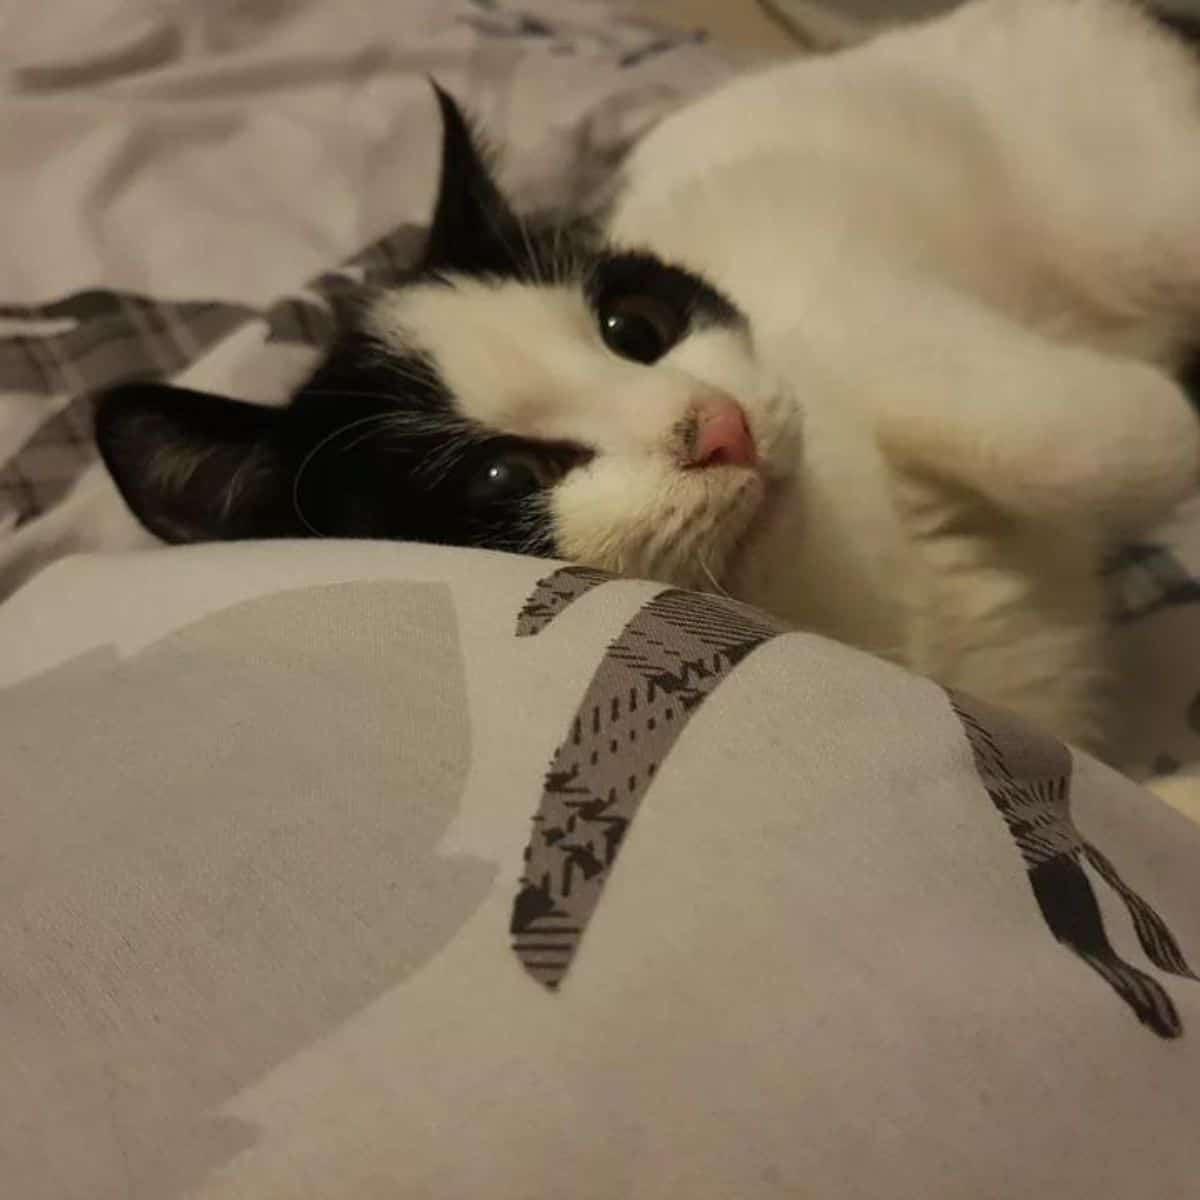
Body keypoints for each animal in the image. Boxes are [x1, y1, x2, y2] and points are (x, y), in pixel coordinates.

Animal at [82, 4, 1200, 753]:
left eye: (635, 327)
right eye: (503, 478)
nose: (719, 424)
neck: (869, 590)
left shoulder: (831, 266)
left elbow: (1055, 424)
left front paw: (1159, 428)